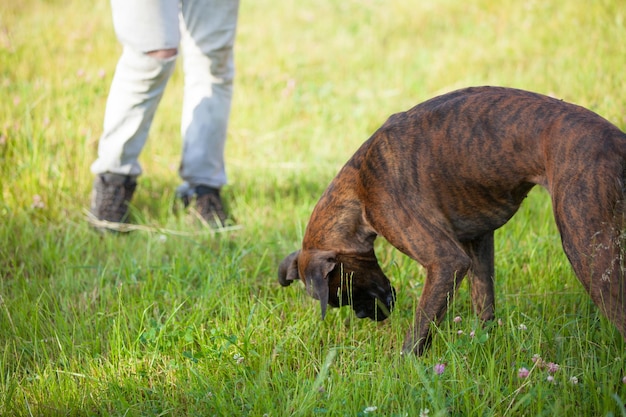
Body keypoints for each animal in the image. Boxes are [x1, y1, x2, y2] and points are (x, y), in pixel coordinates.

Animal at [278, 87, 624, 354]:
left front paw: (407, 370)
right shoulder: (478, 243)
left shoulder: (445, 261)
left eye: (341, 292)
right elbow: (485, 304)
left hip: (588, 253)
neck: (359, 185)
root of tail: (618, 141)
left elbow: (419, 330)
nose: (366, 316)